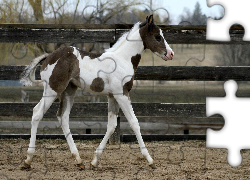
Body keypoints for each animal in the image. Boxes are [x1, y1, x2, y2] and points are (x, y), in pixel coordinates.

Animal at [20, 14, 174, 169]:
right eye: (157, 37)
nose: (171, 54)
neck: (123, 59)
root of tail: (49, 56)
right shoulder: (122, 94)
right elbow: (134, 123)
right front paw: (150, 160)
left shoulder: (112, 96)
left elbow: (112, 126)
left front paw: (94, 161)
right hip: (52, 89)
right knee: (37, 113)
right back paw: (28, 160)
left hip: (69, 91)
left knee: (63, 117)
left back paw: (78, 160)